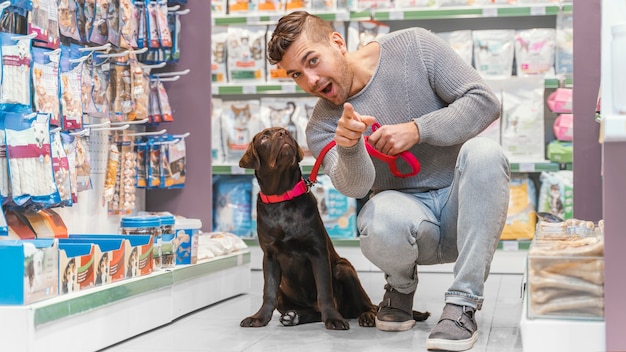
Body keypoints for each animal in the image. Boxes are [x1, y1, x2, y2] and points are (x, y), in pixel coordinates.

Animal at [236, 127, 426, 330]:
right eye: (264, 138)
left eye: (286, 131)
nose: (284, 134)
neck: (283, 197)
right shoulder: (270, 256)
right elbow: (268, 292)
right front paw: (259, 318)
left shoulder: (318, 252)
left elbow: (324, 291)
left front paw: (333, 319)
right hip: (285, 290)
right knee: (311, 311)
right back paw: (294, 316)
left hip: (344, 268)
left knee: (366, 305)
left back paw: (366, 316)